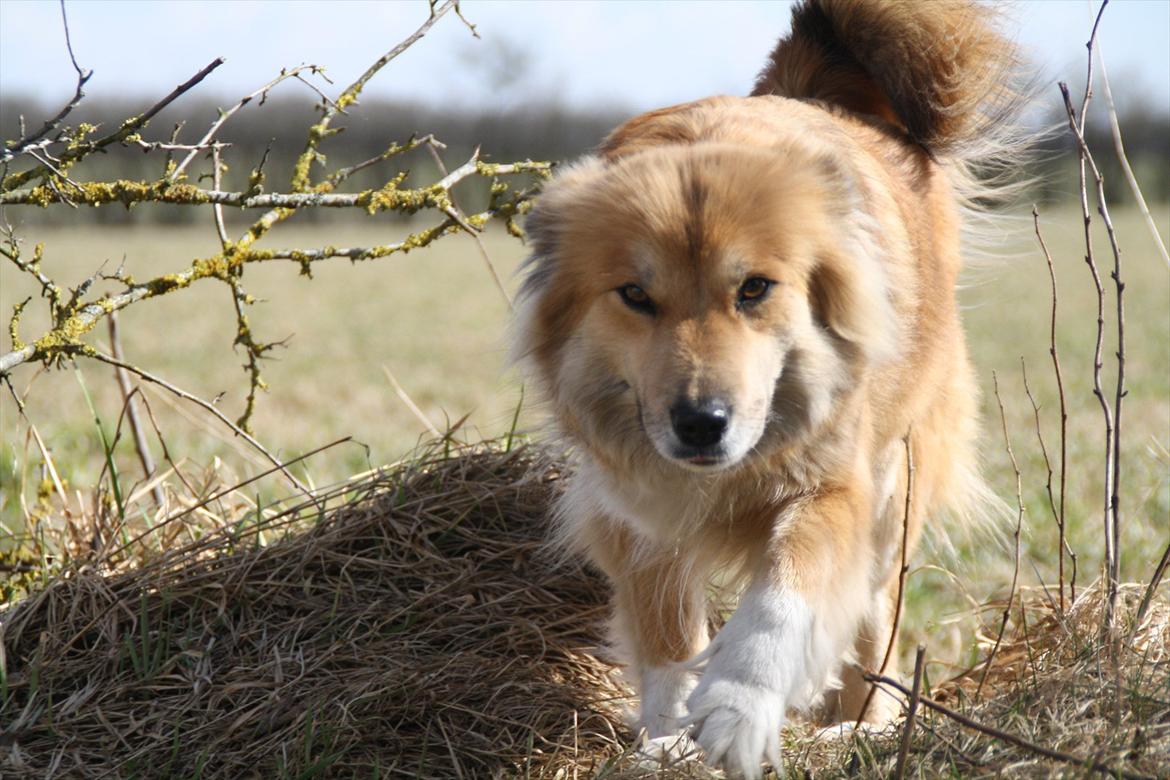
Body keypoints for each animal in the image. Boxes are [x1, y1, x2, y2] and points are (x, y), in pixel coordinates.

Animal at [512, 3, 1024, 776]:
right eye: (635, 295)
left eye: (754, 288)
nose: (701, 422)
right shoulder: (633, 508)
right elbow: (666, 632)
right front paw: (668, 736)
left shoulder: (835, 486)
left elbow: (785, 597)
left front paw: (738, 706)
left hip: (893, 500)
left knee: (874, 623)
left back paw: (863, 729)